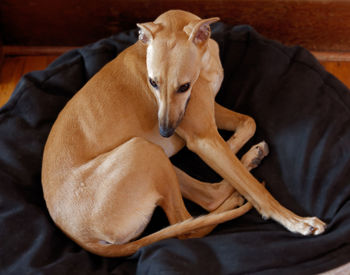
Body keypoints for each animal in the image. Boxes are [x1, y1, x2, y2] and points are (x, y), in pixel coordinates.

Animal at [42, 9, 326, 258]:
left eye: (184, 86)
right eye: (152, 82)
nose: (166, 132)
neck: (205, 61)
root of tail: (84, 239)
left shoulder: (209, 116)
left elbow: (249, 123)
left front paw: (240, 153)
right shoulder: (202, 137)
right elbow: (255, 188)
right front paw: (297, 221)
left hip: (154, 158)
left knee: (208, 196)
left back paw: (248, 165)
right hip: (142, 151)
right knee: (186, 226)